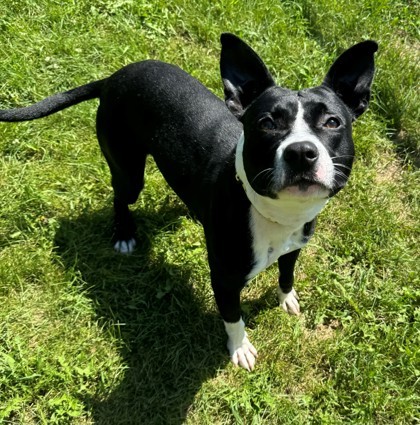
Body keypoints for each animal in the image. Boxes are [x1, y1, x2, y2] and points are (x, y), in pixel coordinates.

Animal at [0, 34, 378, 372]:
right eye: (267, 123)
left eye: (332, 122)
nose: (301, 151)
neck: (273, 213)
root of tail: (113, 77)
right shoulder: (224, 280)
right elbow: (233, 317)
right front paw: (239, 348)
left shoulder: (294, 247)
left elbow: (286, 273)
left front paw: (286, 299)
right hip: (128, 170)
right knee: (120, 197)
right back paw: (123, 234)